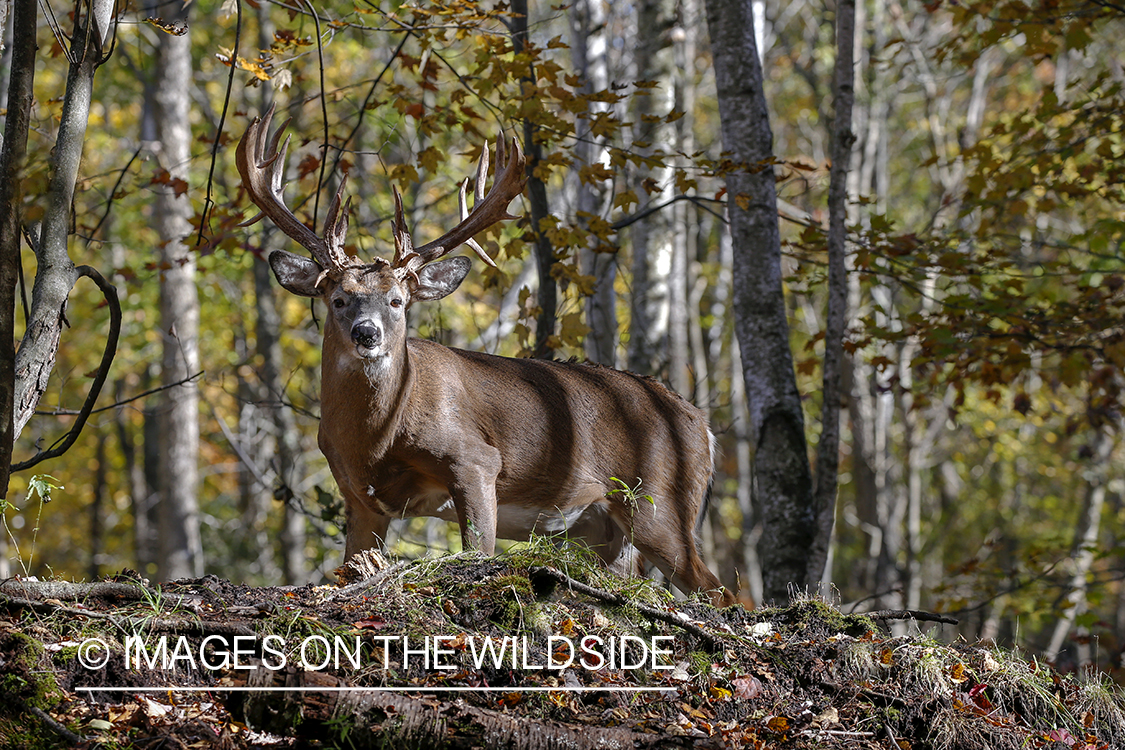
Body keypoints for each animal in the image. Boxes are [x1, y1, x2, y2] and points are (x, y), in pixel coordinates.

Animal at [237, 106, 733, 611]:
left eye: (397, 301)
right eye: (338, 299)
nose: (367, 333)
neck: (378, 440)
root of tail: (704, 427)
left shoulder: (476, 460)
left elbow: (477, 552)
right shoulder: (358, 497)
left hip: (661, 502)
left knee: (718, 591)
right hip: (604, 529)